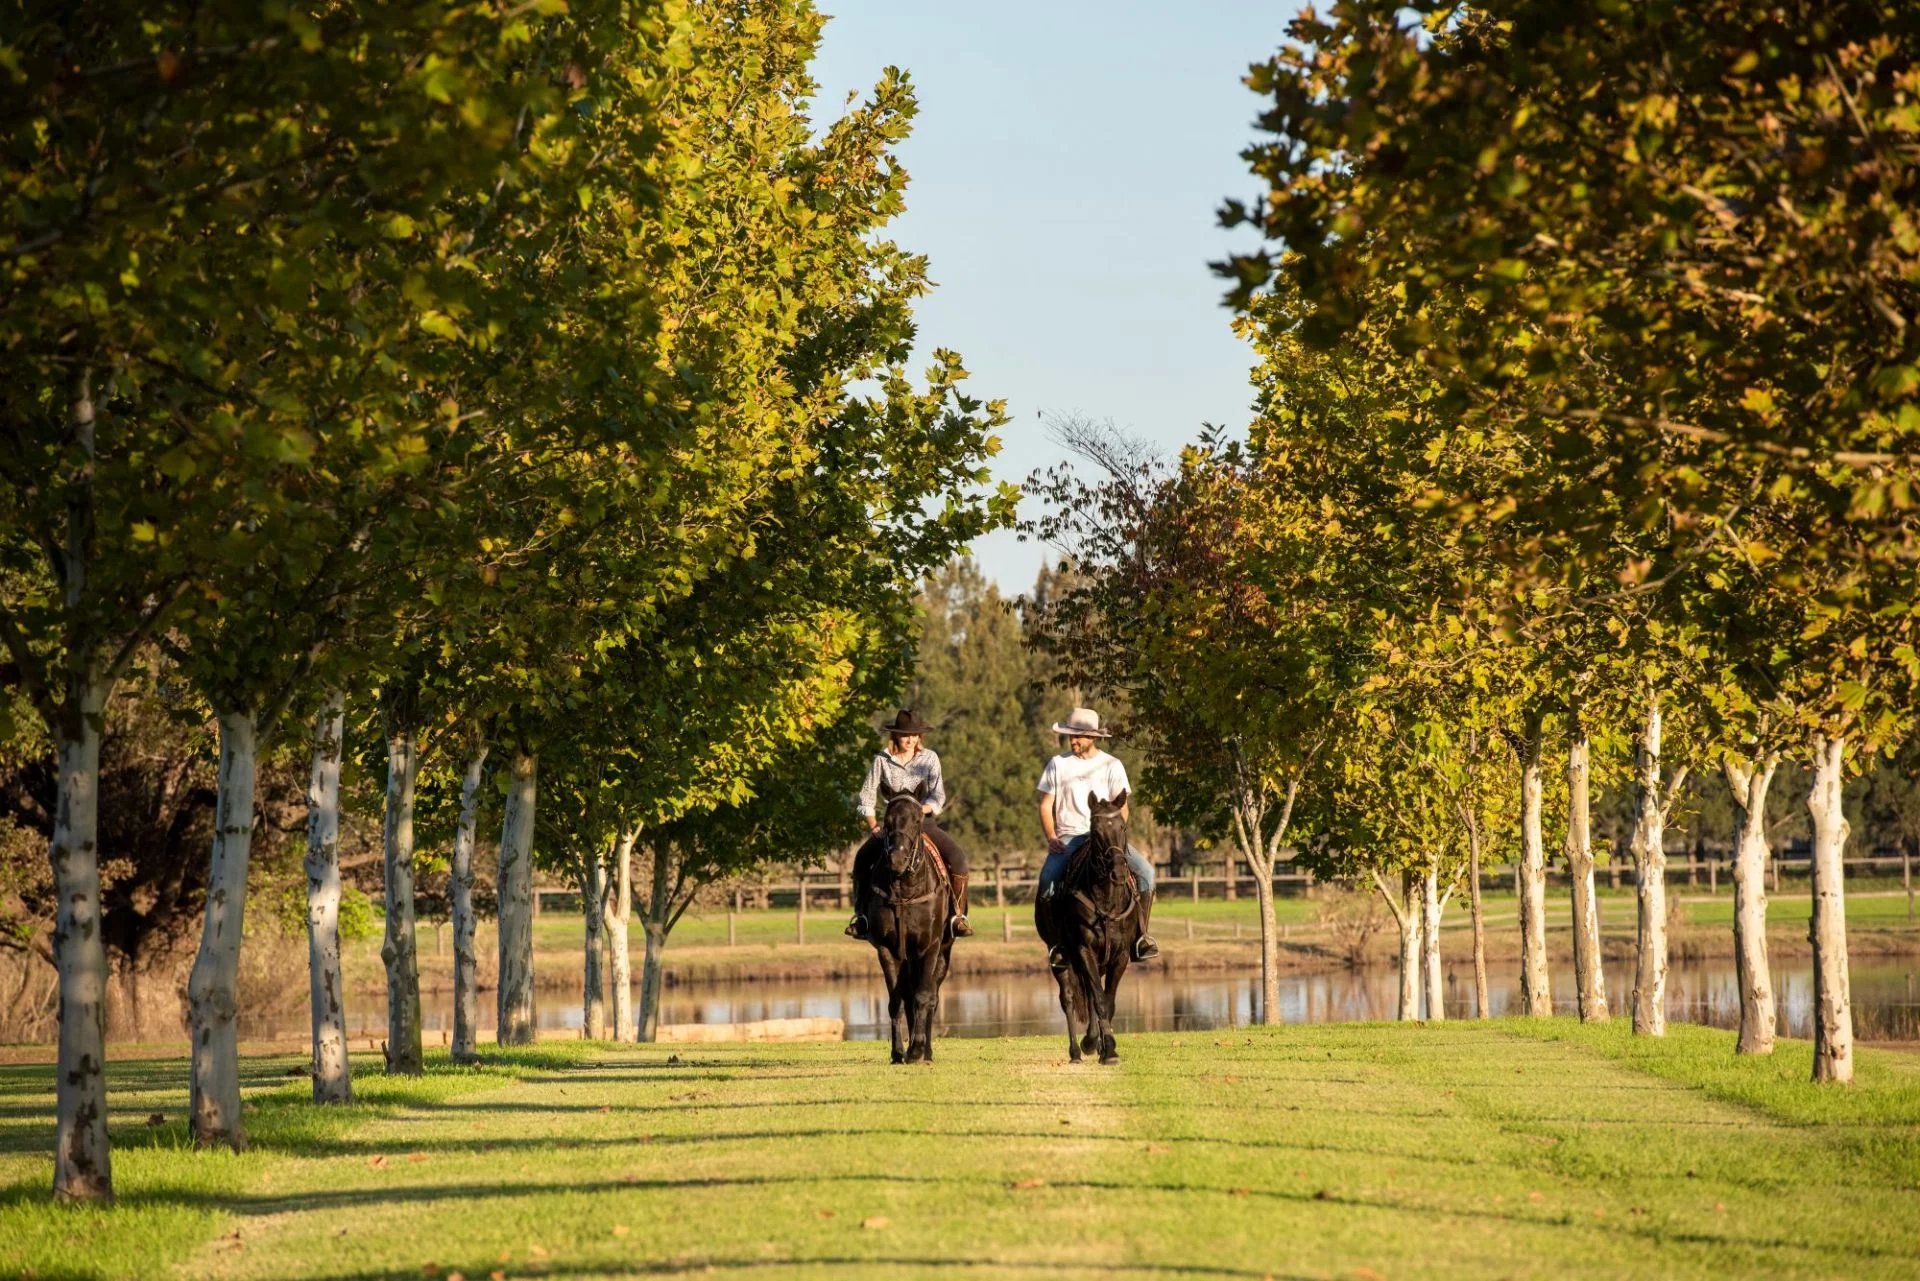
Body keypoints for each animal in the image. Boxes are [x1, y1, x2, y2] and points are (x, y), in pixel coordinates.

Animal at [860, 783, 956, 1060]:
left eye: (917, 820)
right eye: (887, 821)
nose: (897, 860)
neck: (905, 891)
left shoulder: (929, 947)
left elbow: (924, 996)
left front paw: (917, 1050)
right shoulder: (887, 949)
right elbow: (896, 1001)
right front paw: (898, 1052)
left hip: (943, 953)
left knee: (931, 996)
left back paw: (926, 1051)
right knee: (908, 996)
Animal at [1036, 791, 1136, 1060]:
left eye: (1122, 827)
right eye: (1096, 831)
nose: (1118, 871)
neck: (1107, 899)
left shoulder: (1120, 955)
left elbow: (1106, 1001)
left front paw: (1104, 1045)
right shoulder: (1084, 950)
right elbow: (1099, 1000)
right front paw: (1105, 1047)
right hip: (1061, 959)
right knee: (1069, 998)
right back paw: (1076, 1052)